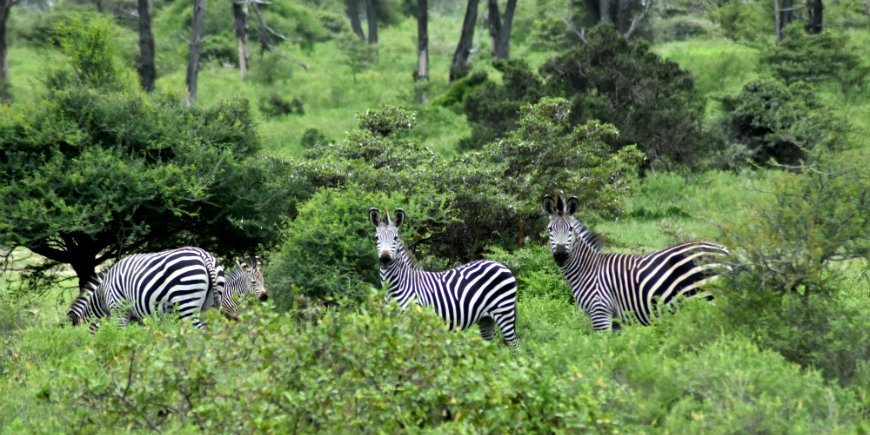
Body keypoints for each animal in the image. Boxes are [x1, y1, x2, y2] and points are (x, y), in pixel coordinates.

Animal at [67, 247, 226, 331]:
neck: (102, 294)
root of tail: (203, 255)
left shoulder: (119, 310)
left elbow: (121, 335)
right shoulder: (137, 317)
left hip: (186, 303)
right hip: (207, 306)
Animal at [369, 207, 519, 347]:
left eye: (395, 238)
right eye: (376, 238)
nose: (385, 259)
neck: (398, 284)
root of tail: (502, 265)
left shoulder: (415, 320)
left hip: (504, 312)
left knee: (515, 347)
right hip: (486, 319)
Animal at [543, 191, 729, 331]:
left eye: (570, 229)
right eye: (550, 229)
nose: (560, 255)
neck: (588, 269)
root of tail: (726, 251)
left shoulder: (600, 312)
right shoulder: (615, 320)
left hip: (705, 298)